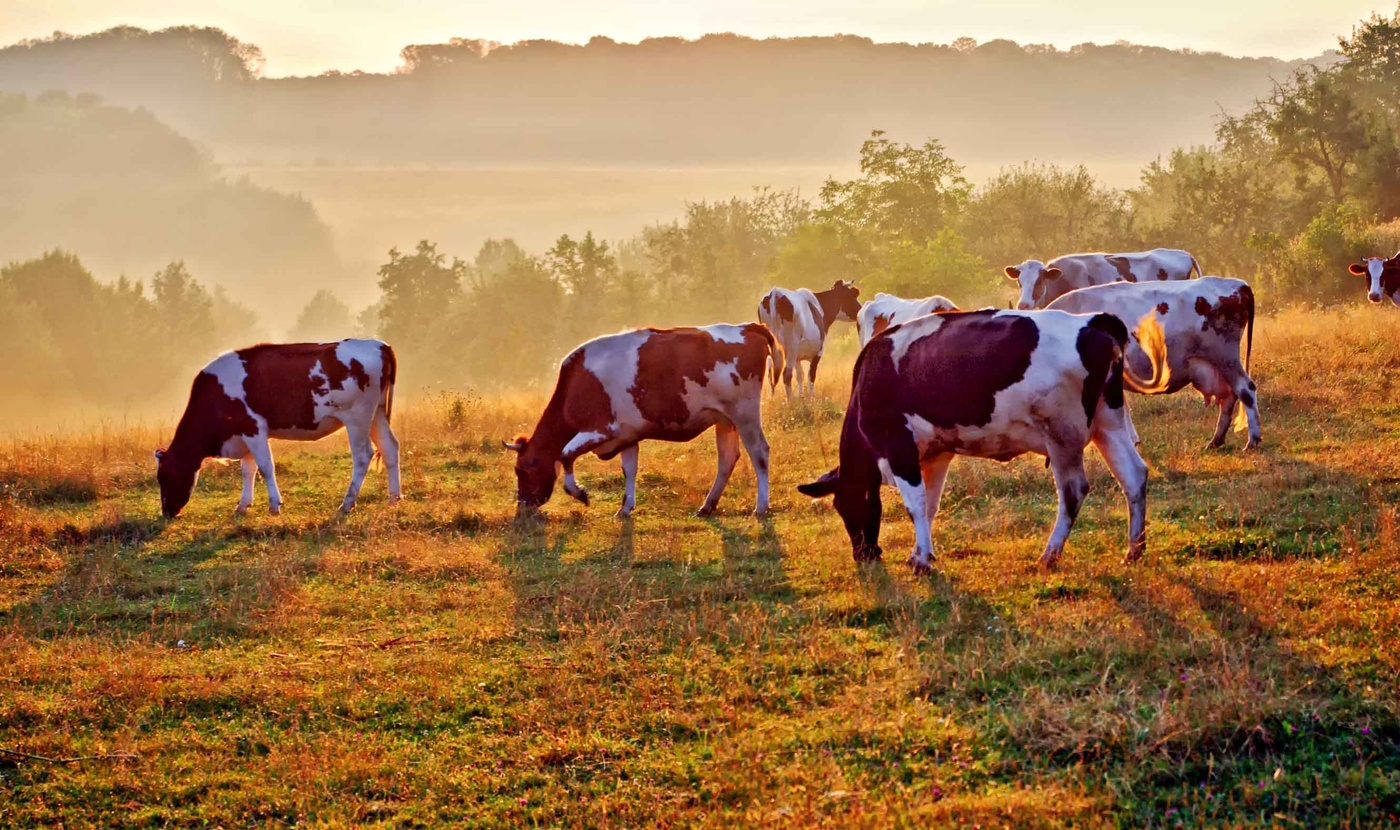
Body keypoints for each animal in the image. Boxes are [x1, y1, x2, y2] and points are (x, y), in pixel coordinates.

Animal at [156, 335, 403, 517]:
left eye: (165, 476)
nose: (167, 512)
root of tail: (378, 344)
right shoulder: (245, 433)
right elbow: (248, 469)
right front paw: (243, 505)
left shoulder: (253, 428)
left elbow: (265, 467)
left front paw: (274, 505)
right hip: (377, 413)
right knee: (390, 448)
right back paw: (394, 498)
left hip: (357, 416)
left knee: (363, 455)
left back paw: (347, 503)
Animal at [504, 323, 778, 517]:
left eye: (521, 469)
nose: (523, 505)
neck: (576, 384)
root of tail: (748, 327)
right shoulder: (627, 435)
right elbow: (629, 469)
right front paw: (625, 508)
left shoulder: (600, 429)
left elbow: (565, 454)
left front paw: (580, 494)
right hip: (725, 420)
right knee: (727, 459)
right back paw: (707, 507)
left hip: (745, 414)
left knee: (759, 453)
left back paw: (761, 507)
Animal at [800, 307, 1170, 573]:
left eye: (845, 504)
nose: (864, 555)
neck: (870, 378)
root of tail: (1093, 321)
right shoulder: (936, 454)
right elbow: (930, 505)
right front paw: (921, 553)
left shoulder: (899, 447)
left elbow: (915, 505)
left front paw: (922, 561)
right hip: (1109, 424)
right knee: (1133, 476)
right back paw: (1134, 550)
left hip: (1062, 434)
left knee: (1074, 491)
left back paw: (1049, 554)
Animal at [1047, 277, 1265, 447]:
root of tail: (1238, 285)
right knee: (1229, 396)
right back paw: (1216, 440)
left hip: (1225, 356)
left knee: (1245, 389)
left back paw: (1252, 439)